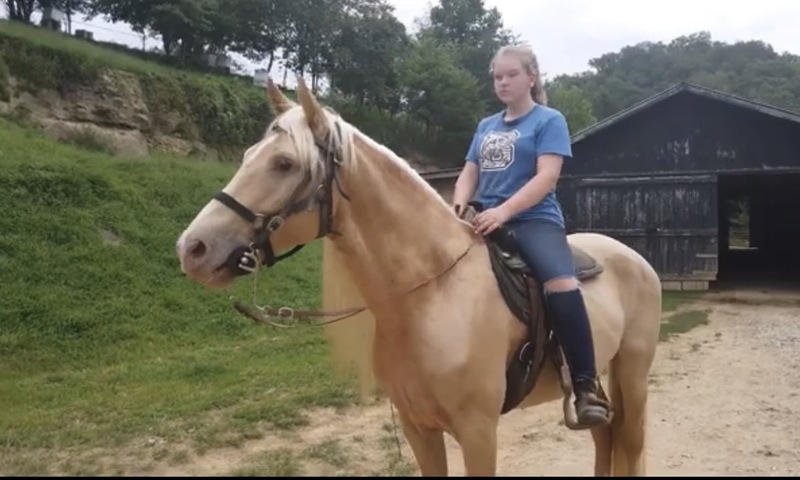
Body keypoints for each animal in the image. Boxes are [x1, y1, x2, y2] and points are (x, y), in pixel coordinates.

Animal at [175, 76, 663, 476]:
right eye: (248, 156)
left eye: (284, 164)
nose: (192, 249)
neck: (431, 297)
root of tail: (634, 258)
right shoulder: (418, 429)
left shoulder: (479, 433)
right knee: (605, 437)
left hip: (633, 373)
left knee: (630, 442)